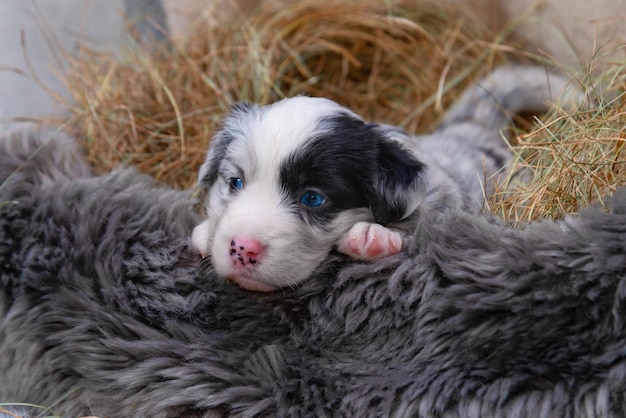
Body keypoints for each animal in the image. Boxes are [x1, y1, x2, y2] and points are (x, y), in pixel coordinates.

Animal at [193, 67, 576, 292]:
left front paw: (370, 236)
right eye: (235, 183)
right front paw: (204, 232)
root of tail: (474, 128)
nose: (242, 248)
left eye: (313, 198)